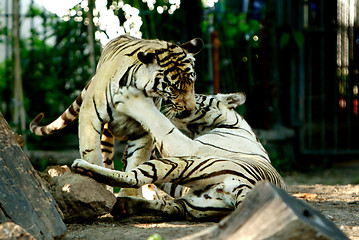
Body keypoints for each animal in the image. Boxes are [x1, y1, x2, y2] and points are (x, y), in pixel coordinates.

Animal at [73, 87, 286, 220]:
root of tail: (246, 191)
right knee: (168, 207)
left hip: (187, 163)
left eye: (195, 93)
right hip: (188, 205)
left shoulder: (189, 149)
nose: (168, 100)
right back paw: (124, 205)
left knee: (133, 178)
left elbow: (160, 124)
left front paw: (130, 98)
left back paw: (85, 168)